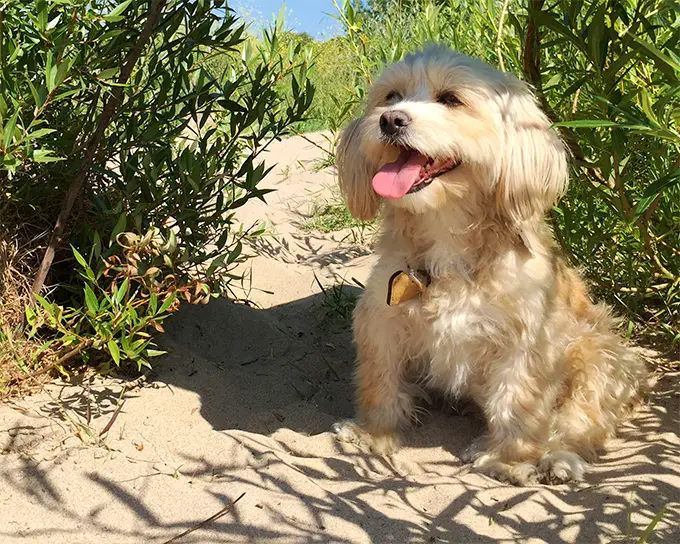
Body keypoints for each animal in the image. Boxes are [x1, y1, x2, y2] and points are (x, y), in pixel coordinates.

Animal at [334, 46, 648, 486]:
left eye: (451, 99)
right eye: (391, 96)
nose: (390, 120)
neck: (446, 232)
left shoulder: (528, 342)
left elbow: (517, 402)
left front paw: (509, 461)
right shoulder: (383, 319)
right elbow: (380, 380)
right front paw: (373, 434)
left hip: (601, 357)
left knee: (582, 422)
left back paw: (559, 459)